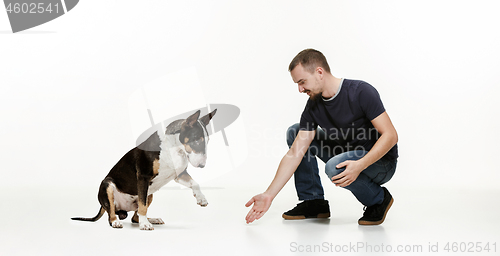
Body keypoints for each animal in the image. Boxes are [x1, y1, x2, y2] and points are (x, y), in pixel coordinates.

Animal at [72, 109, 215, 231]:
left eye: (207, 141)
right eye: (197, 141)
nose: (202, 165)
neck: (173, 147)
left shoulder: (178, 175)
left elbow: (195, 183)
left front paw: (201, 199)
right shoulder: (143, 177)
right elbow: (142, 206)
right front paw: (145, 225)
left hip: (149, 193)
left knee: (135, 216)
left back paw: (152, 219)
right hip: (108, 185)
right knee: (112, 214)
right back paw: (118, 222)